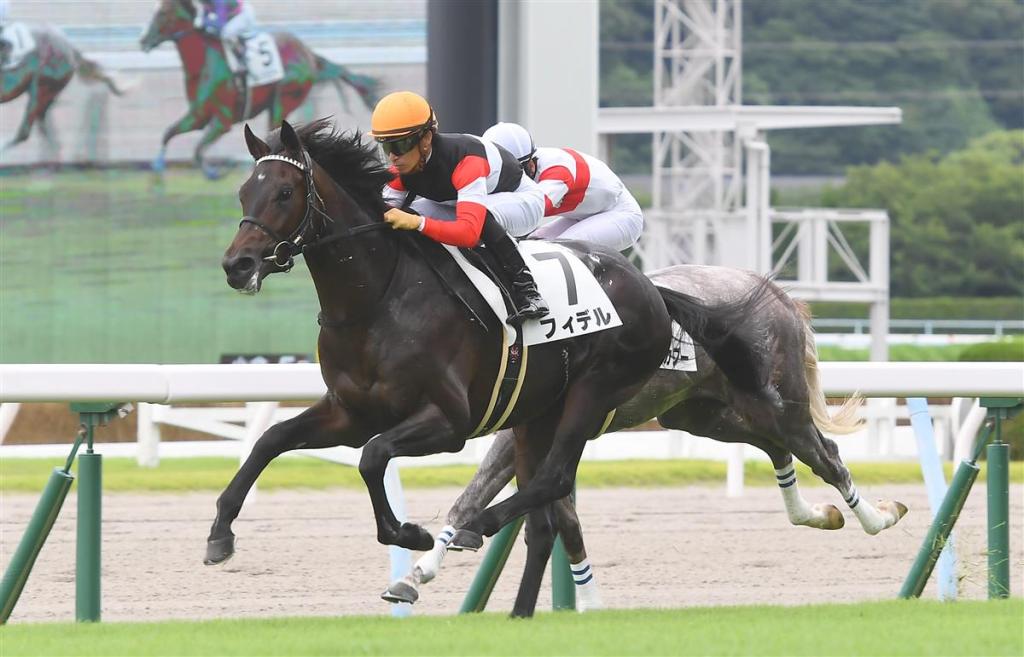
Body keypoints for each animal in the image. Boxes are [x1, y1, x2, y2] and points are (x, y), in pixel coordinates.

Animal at [139, 0, 379, 179]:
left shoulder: (222, 121)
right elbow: (168, 134)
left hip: (283, 100)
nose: (143, 41)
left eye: (163, 13)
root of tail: (309, 55)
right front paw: (157, 179)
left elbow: (197, 151)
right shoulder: (198, 117)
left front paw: (216, 171)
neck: (205, 62)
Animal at [206, 118, 775, 576]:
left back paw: (476, 523)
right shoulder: (350, 412)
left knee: (553, 477)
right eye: (243, 193)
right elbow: (270, 440)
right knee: (545, 493)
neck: (378, 301)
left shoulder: (449, 422)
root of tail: (652, 289)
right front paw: (220, 534)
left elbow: (372, 457)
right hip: (538, 410)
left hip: (595, 390)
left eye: (284, 193)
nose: (237, 265)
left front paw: (409, 533)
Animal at [390, 265, 909, 617]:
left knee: (825, 454)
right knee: (777, 448)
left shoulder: (534, 429)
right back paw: (817, 513)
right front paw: (415, 575)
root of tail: (777, 293)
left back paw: (877, 517)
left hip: (775, 401)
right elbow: (498, 503)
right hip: (701, 412)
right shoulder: (525, 431)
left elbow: (516, 502)